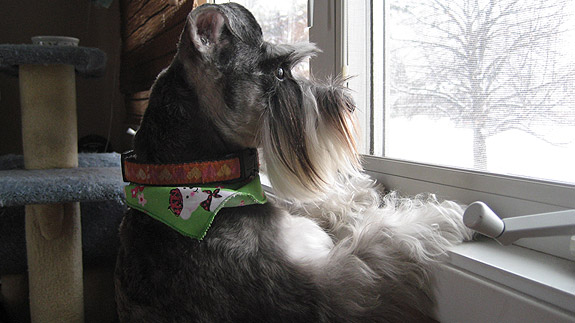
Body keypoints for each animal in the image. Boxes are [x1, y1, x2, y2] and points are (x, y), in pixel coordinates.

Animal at [116, 3, 472, 323]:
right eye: (280, 72)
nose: (349, 103)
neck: (192, 177)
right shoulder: (320, 292)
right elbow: (379, 239)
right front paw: (439, 214)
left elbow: (309, 203)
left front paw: (360, 194)